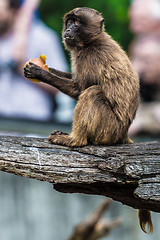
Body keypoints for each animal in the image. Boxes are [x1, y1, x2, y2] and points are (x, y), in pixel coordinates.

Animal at [23, 7, 152, 234]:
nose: (68, 30)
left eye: (77, 23)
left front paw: (40, 72)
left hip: (108, 128)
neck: (92, 41)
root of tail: (124, 133)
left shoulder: (91, 56)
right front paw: (44, 68)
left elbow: (79, 88)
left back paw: (75, 140)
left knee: (92, 92)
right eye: (69, 22)